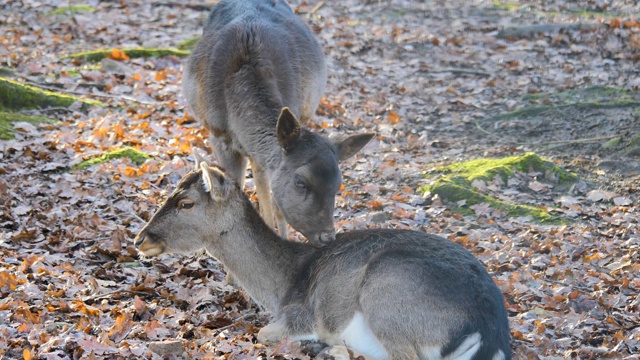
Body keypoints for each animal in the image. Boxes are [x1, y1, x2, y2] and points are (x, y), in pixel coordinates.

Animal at [136, 161, 516, 360]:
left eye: (185, 202)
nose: (141, 239)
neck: (283, 285)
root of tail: (487, 331)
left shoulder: (299, 315)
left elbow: (264, 333)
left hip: (387, 292)